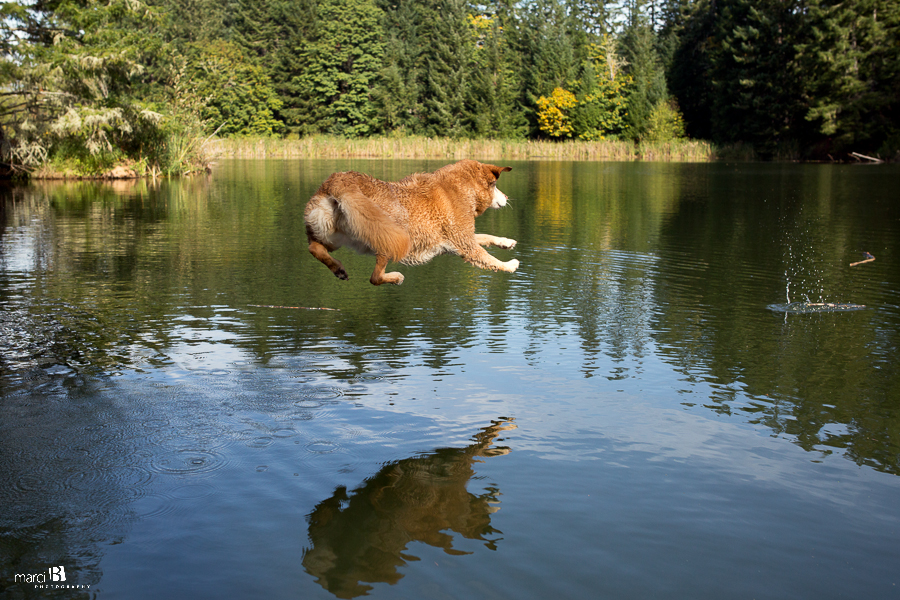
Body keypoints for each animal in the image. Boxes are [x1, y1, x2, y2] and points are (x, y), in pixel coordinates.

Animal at [302, 159, 516, 286]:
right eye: (495, 186)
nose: (507, 197)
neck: (461, 188)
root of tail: (340, 182)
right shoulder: (465, 242)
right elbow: (488, 258)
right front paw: (509, 265)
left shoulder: (457, 240)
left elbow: (486, 237)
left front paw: (506, 242)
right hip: (390, 238)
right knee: (374, 278)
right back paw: (395, 277)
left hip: (331, 234)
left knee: (314, 248)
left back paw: (338, 268)